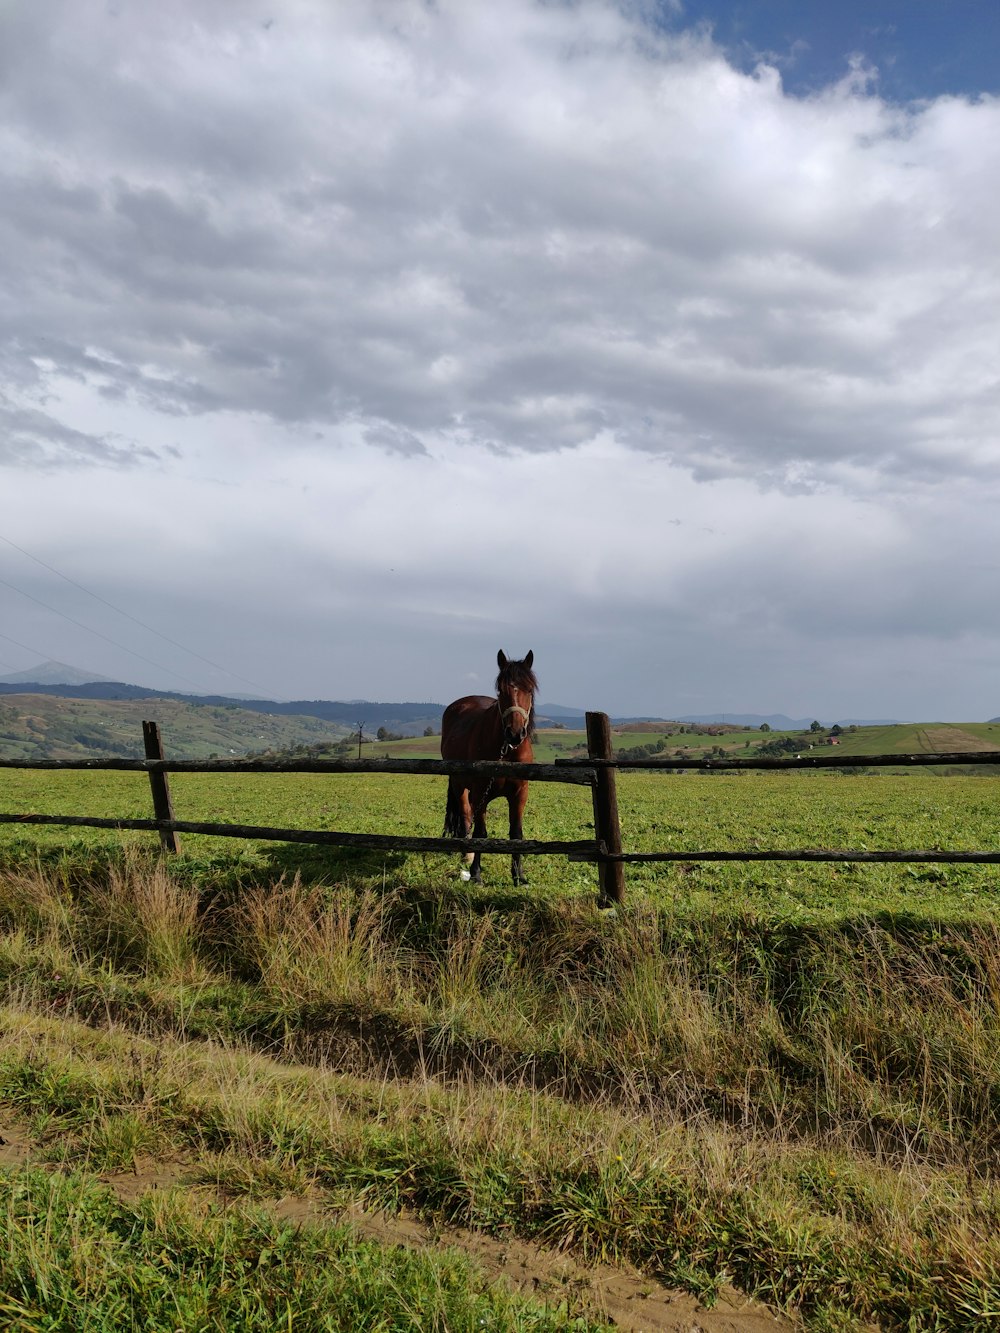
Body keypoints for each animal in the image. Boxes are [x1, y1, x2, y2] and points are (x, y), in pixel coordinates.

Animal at [445, 647, 541, 885]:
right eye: (501, 690)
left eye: (529, 689)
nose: (515, 733)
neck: (506, 753)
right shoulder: (481, 792)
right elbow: (481, 833)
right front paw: (476, 874)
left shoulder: (520, 793)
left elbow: (516, 833)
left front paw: (519, 876)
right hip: (459, 785)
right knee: (465, 814)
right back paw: (467, 855)